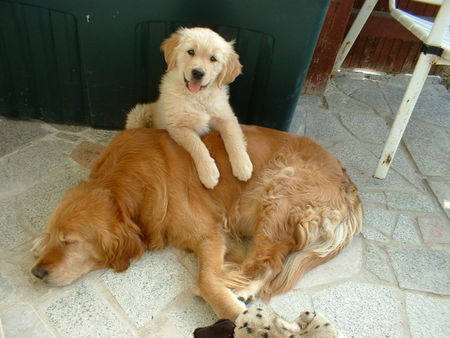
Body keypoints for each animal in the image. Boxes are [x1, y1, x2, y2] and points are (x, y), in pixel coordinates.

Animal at [30, 126, 362, 320]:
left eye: (70, 242)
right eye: (54, 236)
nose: (37, 273)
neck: (128, 181)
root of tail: (349, 185)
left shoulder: (211, 233)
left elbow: (207, 279)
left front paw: (233, 312)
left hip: (278, 191)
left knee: (267, 263)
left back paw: (242, 289)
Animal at [125, 27, 253, 189]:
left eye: (213, 59)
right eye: (191, 51)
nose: (198, 72)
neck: (197, 97)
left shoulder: (226, 116)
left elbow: (233, 137)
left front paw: (243, 165)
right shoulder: (178, 127)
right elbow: (197, 145)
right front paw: (209, 172)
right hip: (138, 114)